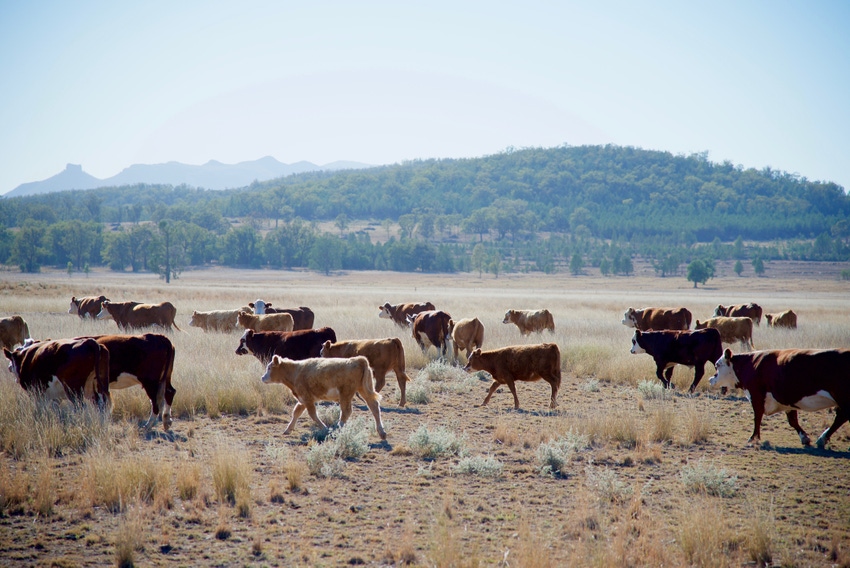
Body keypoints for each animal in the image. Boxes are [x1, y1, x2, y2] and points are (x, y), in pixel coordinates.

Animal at [708, 346, 848, 448]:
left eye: (717, 365)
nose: (711, 379)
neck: (750, 365)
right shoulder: (787, 401)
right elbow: (793, 421)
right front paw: (804, 438)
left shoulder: (756, 396)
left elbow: (757, 417)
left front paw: (753, 438)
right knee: (842, 417)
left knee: (842, 416)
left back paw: (822, 439)